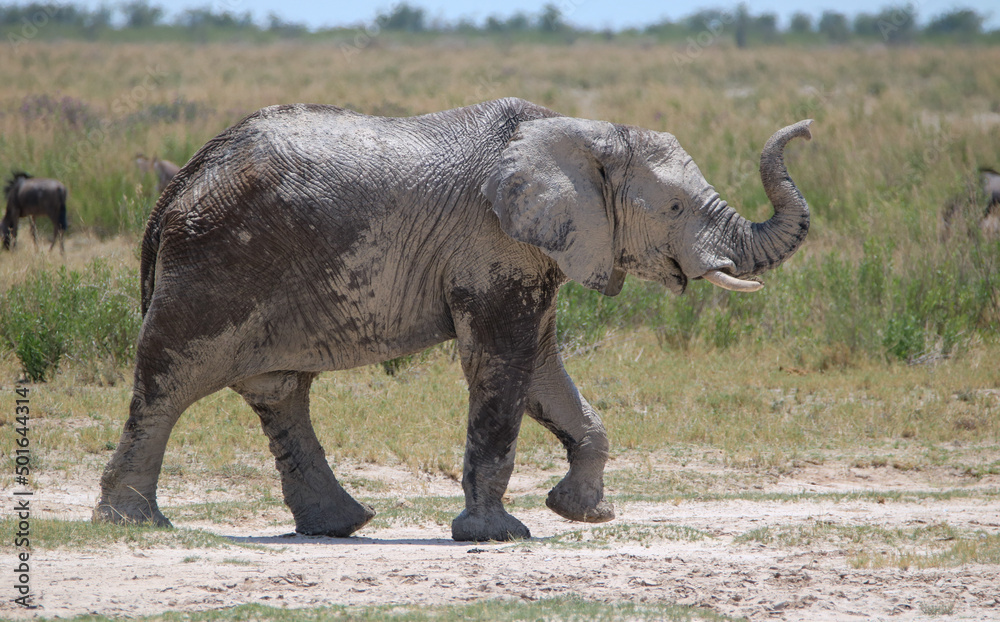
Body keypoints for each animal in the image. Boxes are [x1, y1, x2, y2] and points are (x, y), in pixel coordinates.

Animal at [93, 98, 813, 542]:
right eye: (673, 207)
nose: (805, 129)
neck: (582, 131)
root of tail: (176, 186)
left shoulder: (534, 250)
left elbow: (543, 373)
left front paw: (585, 515)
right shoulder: (492, 244)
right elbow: (502, 365)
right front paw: (499, 536)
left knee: (279, 392)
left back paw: (342, 525)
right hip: (214, 264)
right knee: (168, 383)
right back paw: (133, 524)